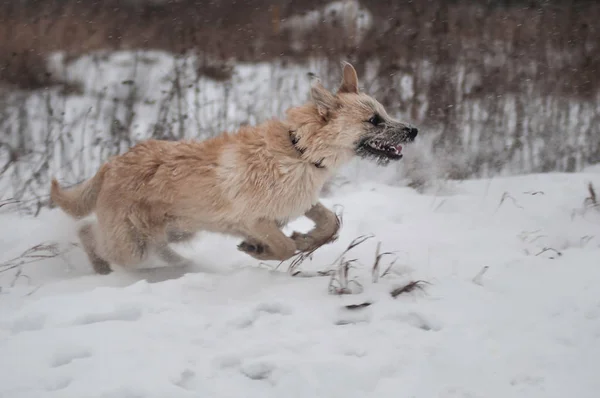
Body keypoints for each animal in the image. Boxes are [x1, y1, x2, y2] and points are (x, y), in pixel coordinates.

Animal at [50, 62, 418, 274]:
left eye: (384, 112)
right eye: (374, 120)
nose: (414, 130)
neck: (299, 150)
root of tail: (111, 164)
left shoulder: (300, 201)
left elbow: (330, 222)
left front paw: (307, 238)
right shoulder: (253, 219)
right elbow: (284, 247)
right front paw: (263, 250)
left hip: (175, 228)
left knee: (142, 243)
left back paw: (180, 263)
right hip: (131, 243)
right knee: (89, 233)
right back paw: (102, 267)